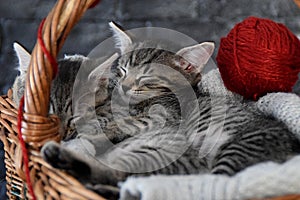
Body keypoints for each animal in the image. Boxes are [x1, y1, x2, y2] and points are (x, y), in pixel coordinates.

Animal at [39, 21, 300, 200]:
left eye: (147, 78)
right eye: (122, 70)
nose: (123, 86)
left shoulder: (161, 117)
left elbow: (117, 124)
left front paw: (88, 130)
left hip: (237, 149)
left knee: (211, 182)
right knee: (125, 176)